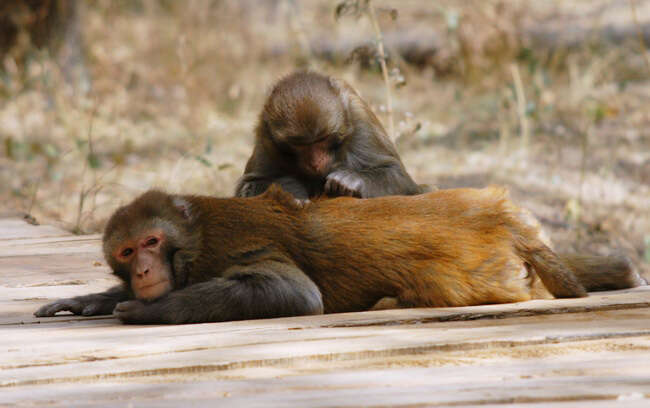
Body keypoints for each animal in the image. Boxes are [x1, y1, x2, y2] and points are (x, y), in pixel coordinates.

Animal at [235, 72, 422, 202]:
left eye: (322, 139)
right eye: (299, 145)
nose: (316, 162)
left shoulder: (360, 117)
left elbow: (399, 175)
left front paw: (351, 180)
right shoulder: (265, 137)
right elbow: (245, 186)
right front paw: (287, 189)